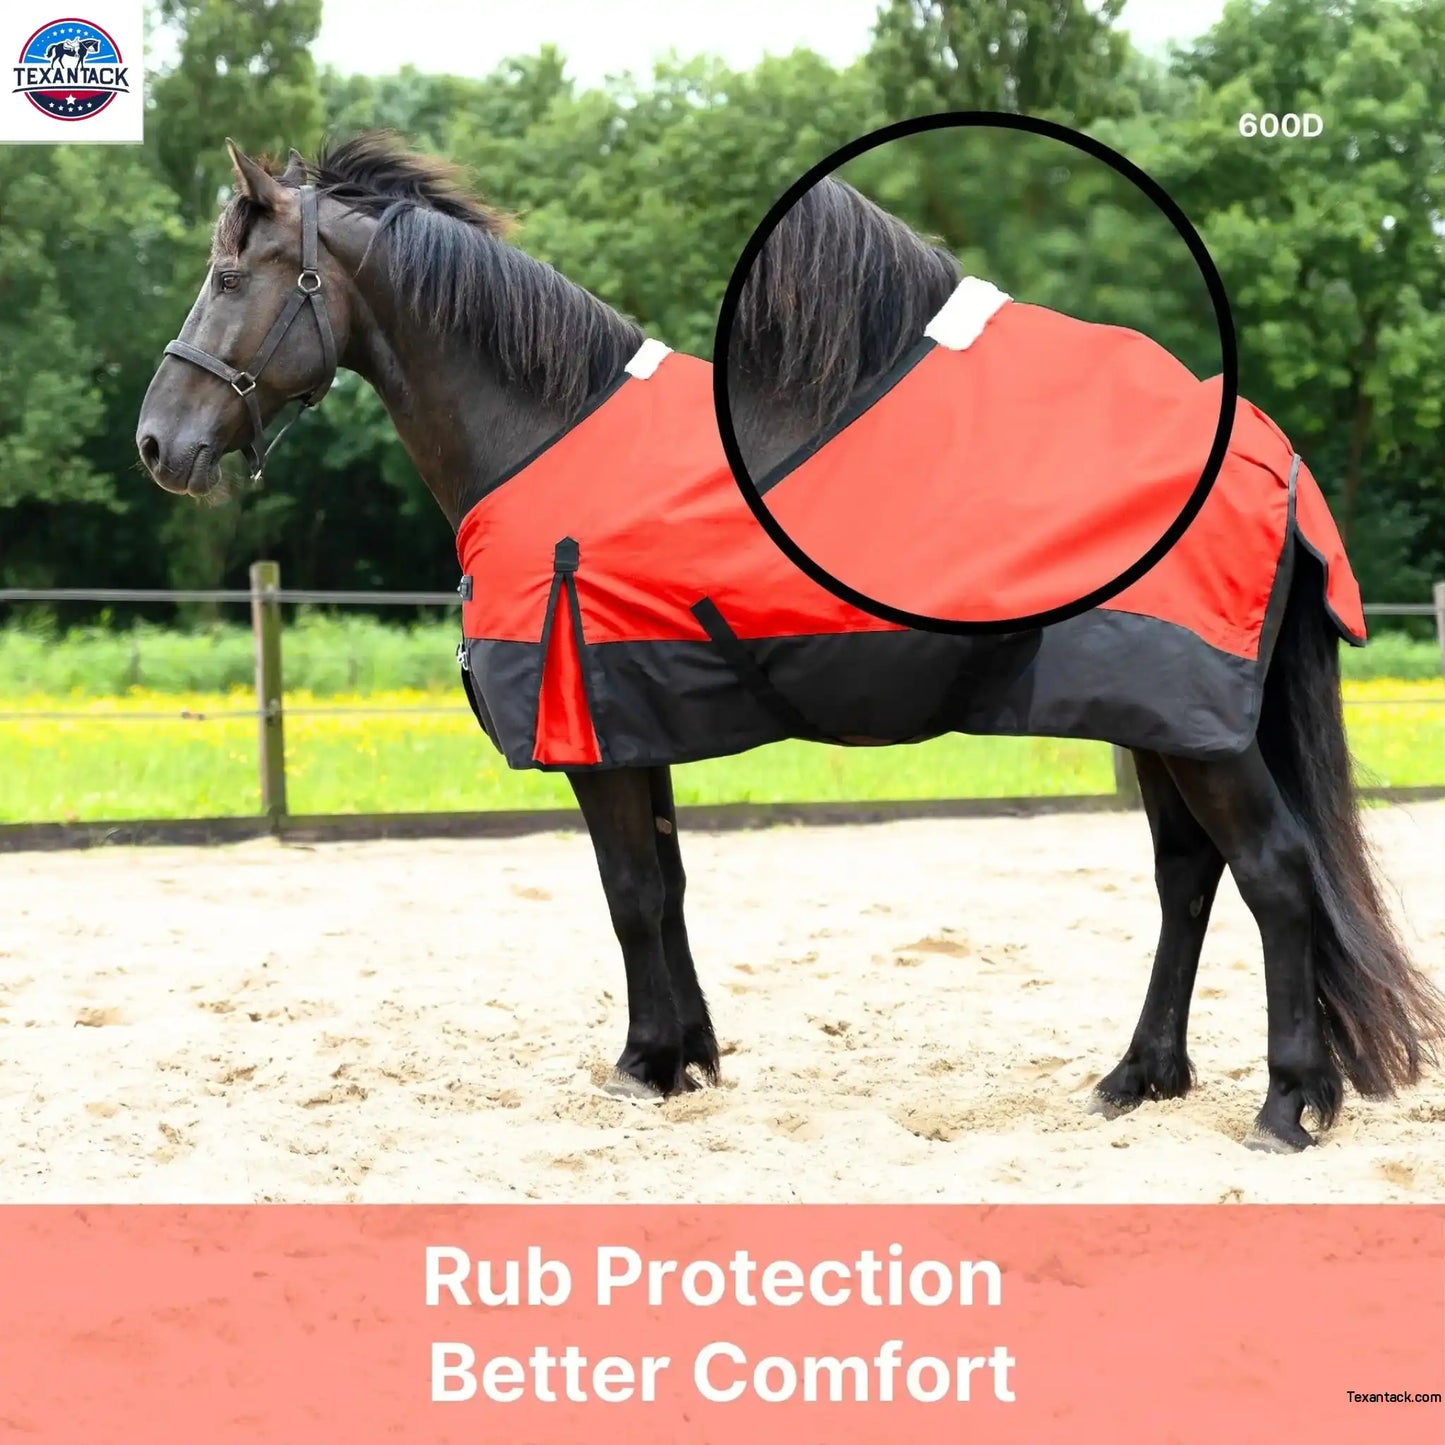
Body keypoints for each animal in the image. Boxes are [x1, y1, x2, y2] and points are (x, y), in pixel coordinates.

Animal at [135, 134, 1444, 1153]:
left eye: (227, 273)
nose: (158, 442)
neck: (543, 429)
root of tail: (1268, 450)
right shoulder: (634, 719)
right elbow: (663, 886)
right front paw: (688, 1056)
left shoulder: (594, 735)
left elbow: (625, 893)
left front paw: (642, 1064)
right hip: (1159, 717)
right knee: (1188, 877)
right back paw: (1136, 1078)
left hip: (1193, 724)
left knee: (1272, 873)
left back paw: (1286, 1105)